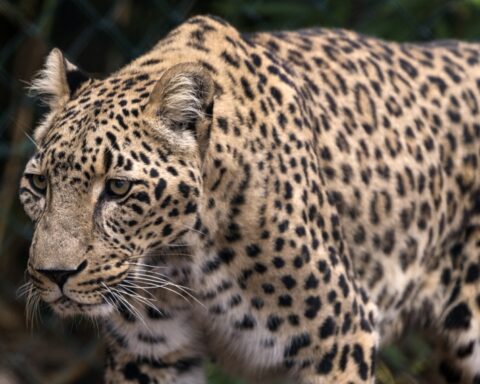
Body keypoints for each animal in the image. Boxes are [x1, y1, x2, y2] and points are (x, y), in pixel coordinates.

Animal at [17, 15, 480, 384]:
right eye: (39, 184)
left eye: (117, 188)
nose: (54, 274)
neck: (183, 259)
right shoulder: (149, 354)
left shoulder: (341, 337)